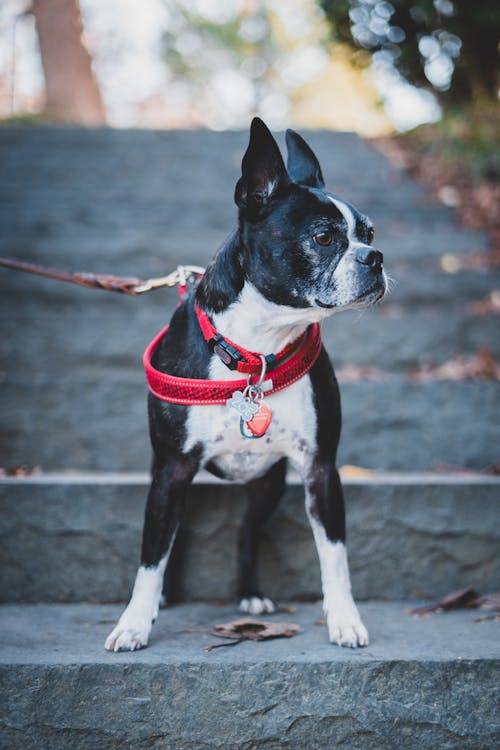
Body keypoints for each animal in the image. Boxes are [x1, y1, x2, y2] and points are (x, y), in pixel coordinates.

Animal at [105, 116, 386, 652]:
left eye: (370, 233)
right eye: (324, 237)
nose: (376, 257)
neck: (256, 349)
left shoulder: (321, 469)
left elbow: (334, 555)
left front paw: (345, 619)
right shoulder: (171, 471)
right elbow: (150, 557)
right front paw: (133, 622)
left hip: (268, 485)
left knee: (246, 532)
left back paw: (250, 593)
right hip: (170, 478)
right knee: (174, 536)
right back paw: (164, 598)